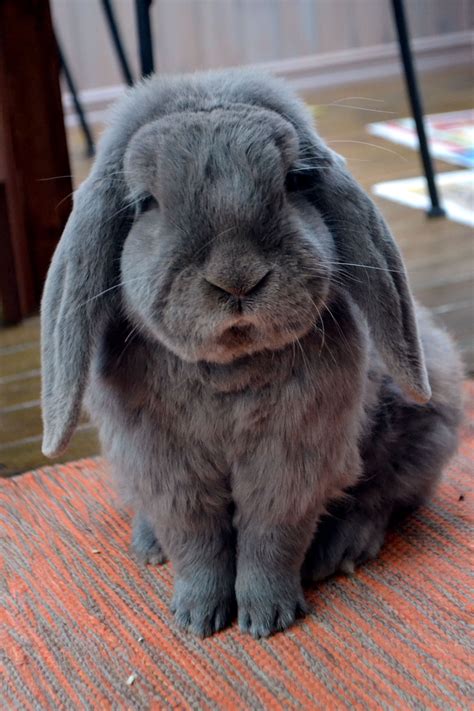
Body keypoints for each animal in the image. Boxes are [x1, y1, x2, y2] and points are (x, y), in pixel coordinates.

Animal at [41, 69, 463, 639]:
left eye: (294, 182)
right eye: (146, 202)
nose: (237, 277)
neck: (229, 369)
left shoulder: (291, 461)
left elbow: (271, 536)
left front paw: (265, 618)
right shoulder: (166, 467)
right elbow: (196, 540)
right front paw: (197, 619)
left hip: (423, 425)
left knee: (385, 496)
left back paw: (341, 551)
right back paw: (149, 546)